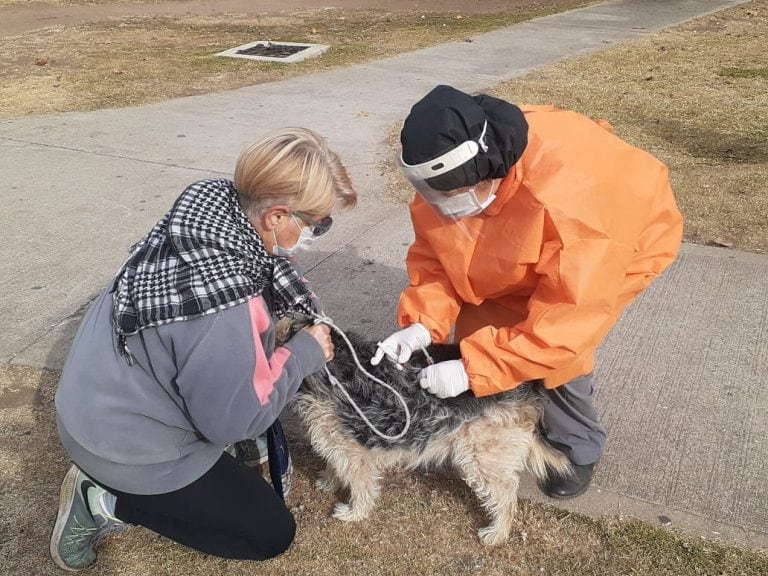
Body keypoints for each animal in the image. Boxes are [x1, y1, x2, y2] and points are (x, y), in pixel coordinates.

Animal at [282, 318, 568, 548]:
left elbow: (360, 485)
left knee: (506, 495)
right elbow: (335, 463)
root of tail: (526, 388)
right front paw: (330, 480)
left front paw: (354, 513)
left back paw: (497, 533)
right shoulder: (337, 441)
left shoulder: (354, 451)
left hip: (482, 457)